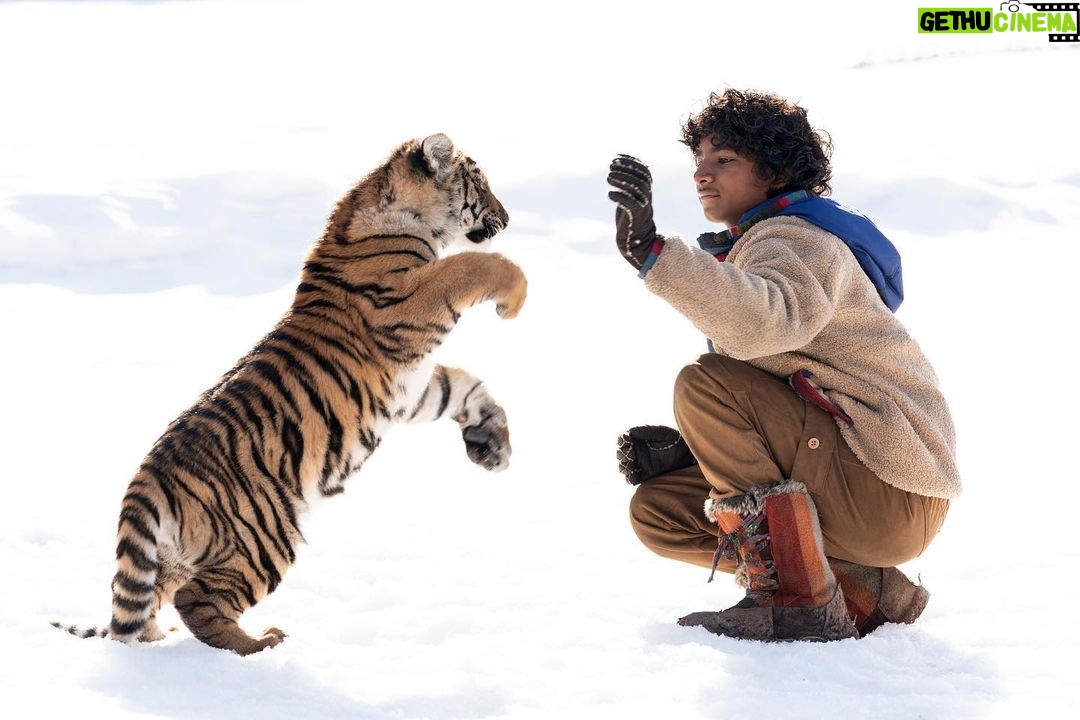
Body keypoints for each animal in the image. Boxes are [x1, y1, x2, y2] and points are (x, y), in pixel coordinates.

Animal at [52, 133, 527, 655]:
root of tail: (145, 481)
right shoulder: (405, 303)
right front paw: (513, 299)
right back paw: (259, 644)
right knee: (199, 601)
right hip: (263, 535)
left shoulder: (412, 390)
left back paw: (159, 642)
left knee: (148, 603)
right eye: (480, 182)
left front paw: (493, 446)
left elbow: (464, 387)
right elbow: (473, 265)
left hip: (180, 554)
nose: (508, 217)